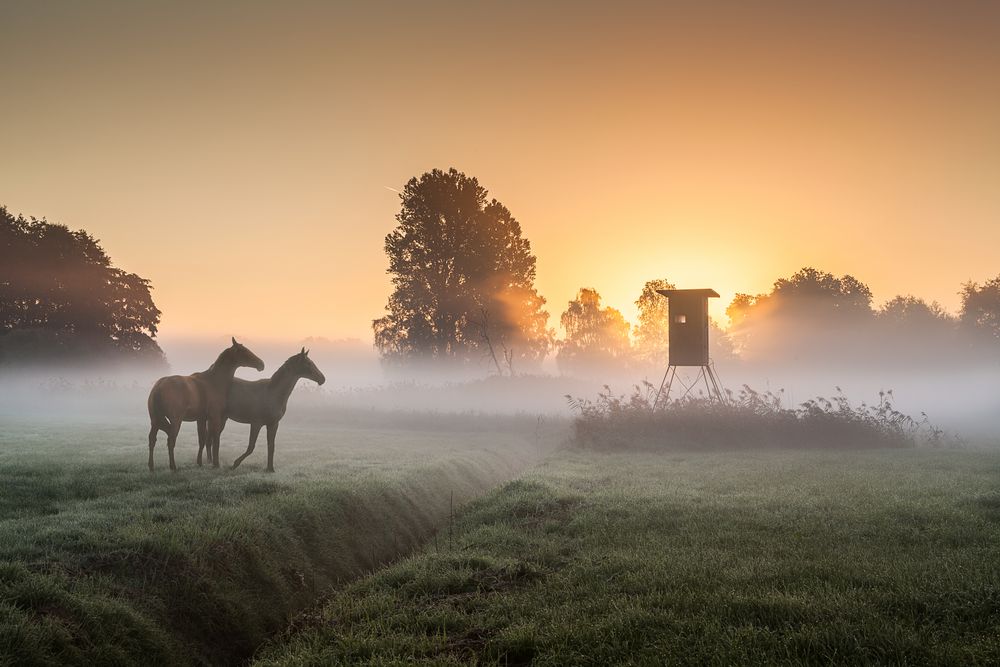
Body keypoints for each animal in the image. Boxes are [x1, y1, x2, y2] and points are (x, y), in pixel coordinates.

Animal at [146, 336, 264, 472]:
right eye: (244, 351)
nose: (261, 364)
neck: (213, 381)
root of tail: (158, 386)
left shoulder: (201, 419)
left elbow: (202, 440)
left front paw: (200, 463)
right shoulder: (215, 418)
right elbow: (216, 440)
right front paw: (216, 463)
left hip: (155, 420)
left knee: (152, 440)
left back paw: (151, 466)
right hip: (176, 421)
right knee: (171, 441)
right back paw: (173, 467)